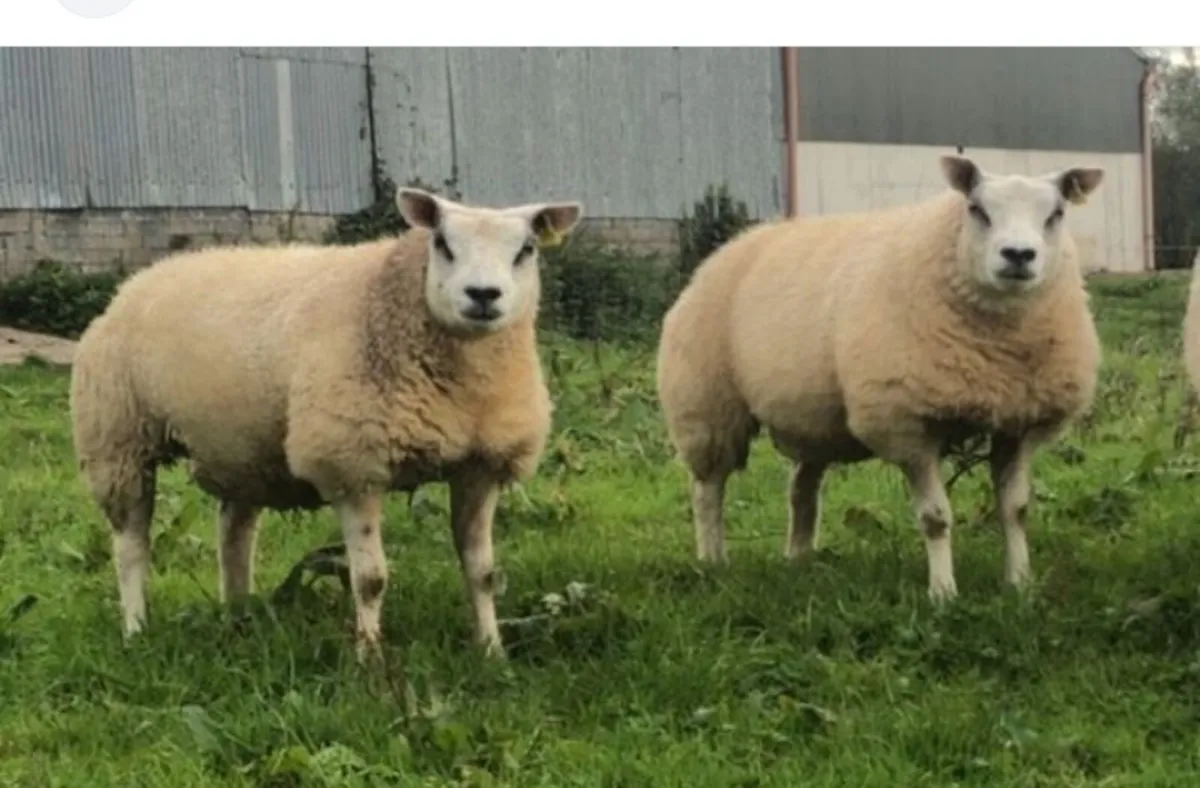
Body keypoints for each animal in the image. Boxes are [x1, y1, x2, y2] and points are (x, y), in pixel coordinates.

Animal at [69, 187, 583, 662]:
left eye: (526, 249)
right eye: (442, 243)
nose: (482, 295)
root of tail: (144, 276)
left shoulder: (481, 465)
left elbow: (483, 573)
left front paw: (492, 652)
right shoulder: (354, 465)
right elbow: (370, 579)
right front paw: (370, 659)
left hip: (242, 449)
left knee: (234, 536)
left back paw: (239, 618)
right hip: (119, 440)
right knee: (131, 547)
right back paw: (136, 630)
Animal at [656, 155, 1103, 601]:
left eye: (1056, 213)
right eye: (977, 209)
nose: (1018, 255)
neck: (998, 351)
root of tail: (738, 243)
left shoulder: (1020, 422)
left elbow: (1016, 510)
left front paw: (1020, 584)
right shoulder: (906, 424)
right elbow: (935, 518)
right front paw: (943, 593)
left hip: (812, 418)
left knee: (802, 489)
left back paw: (799, 558)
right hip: (706, 404)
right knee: (708, 489)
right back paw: (713, 561)